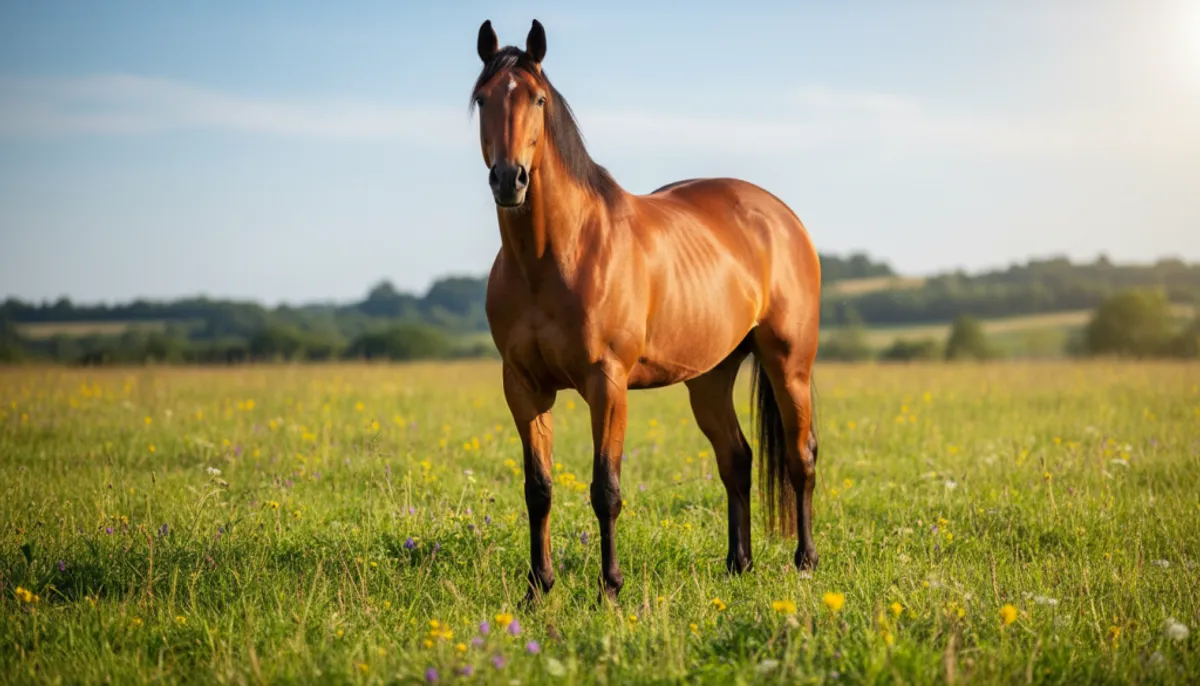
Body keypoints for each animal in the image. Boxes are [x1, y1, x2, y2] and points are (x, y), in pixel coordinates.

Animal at [471, 19, 823, 604]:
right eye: (482, 100)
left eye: (538, 99)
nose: (509, 179)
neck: (553, 256)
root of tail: (782, 217)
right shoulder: (522, 386)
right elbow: (538, 488)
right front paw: (538, 588)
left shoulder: (607, 383)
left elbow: (605, 489)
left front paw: (610, 588)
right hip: (709, 378)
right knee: (737, 459)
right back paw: (738, 564)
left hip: (788, 365)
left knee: (801, 459)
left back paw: (806, 561)